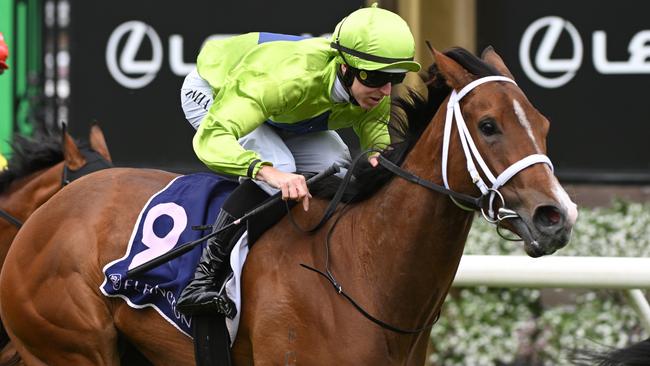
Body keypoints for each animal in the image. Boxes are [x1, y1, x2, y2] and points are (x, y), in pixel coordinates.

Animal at [0, 47, 576, 364]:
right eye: (489, 125)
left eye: (543, 123)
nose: (556, 217)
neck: (362, 269)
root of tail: (42, 219)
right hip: (70, 347)